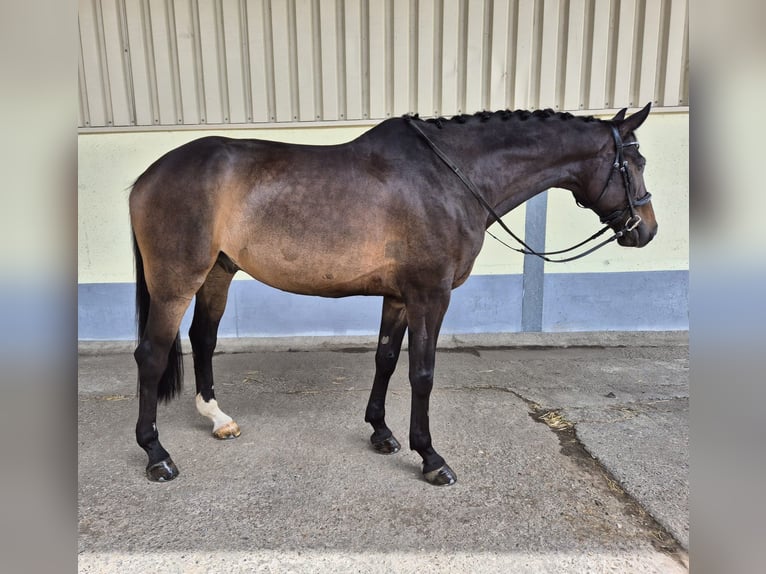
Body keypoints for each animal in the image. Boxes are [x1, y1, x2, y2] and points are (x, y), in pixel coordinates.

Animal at [130, 103, 656, 486]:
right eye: (634, 163)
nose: (646, 230)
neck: (449, 179)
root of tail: (148, 175)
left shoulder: (400, 297)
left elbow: (385, 358)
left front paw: (381, 433)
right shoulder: (431, 295)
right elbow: (421, 373)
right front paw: (431, 457)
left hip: (217, 272)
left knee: (202, 338)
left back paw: (217, 417)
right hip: (177, 279)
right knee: (151, 354)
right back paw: (156, 454)